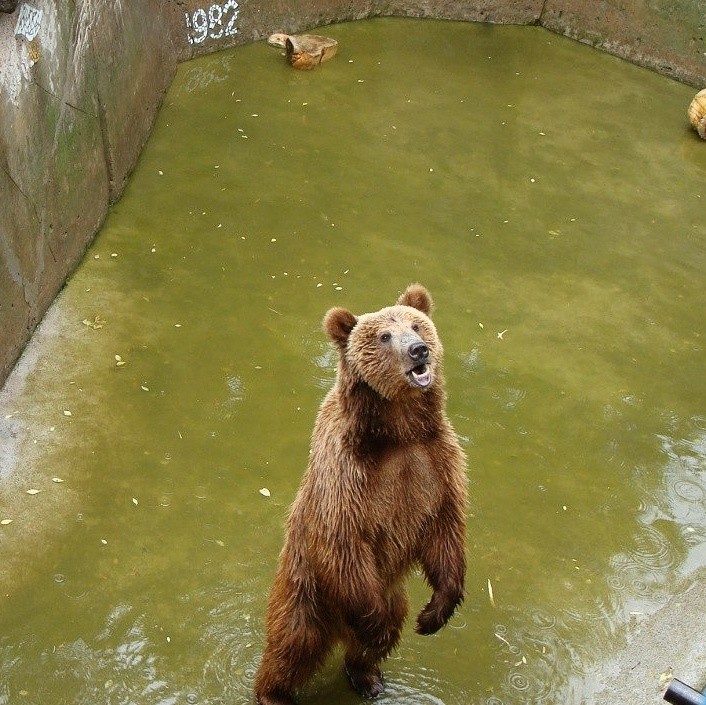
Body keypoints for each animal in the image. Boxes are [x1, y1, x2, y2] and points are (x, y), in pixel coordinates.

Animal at [254, 283, 468, 705]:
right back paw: (274, 692)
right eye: (385, 336)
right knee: (293, 642)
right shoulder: (345, 475)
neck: (398, 431)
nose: (419, 350)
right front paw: (376, 624)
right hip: (307, 589)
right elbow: (343, 539)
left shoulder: (437, 462)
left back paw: (367, 675)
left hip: (392, 593)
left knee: (379, 636)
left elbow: (445, 527)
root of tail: (337, 629)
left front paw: (433, 614)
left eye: (416, 325)